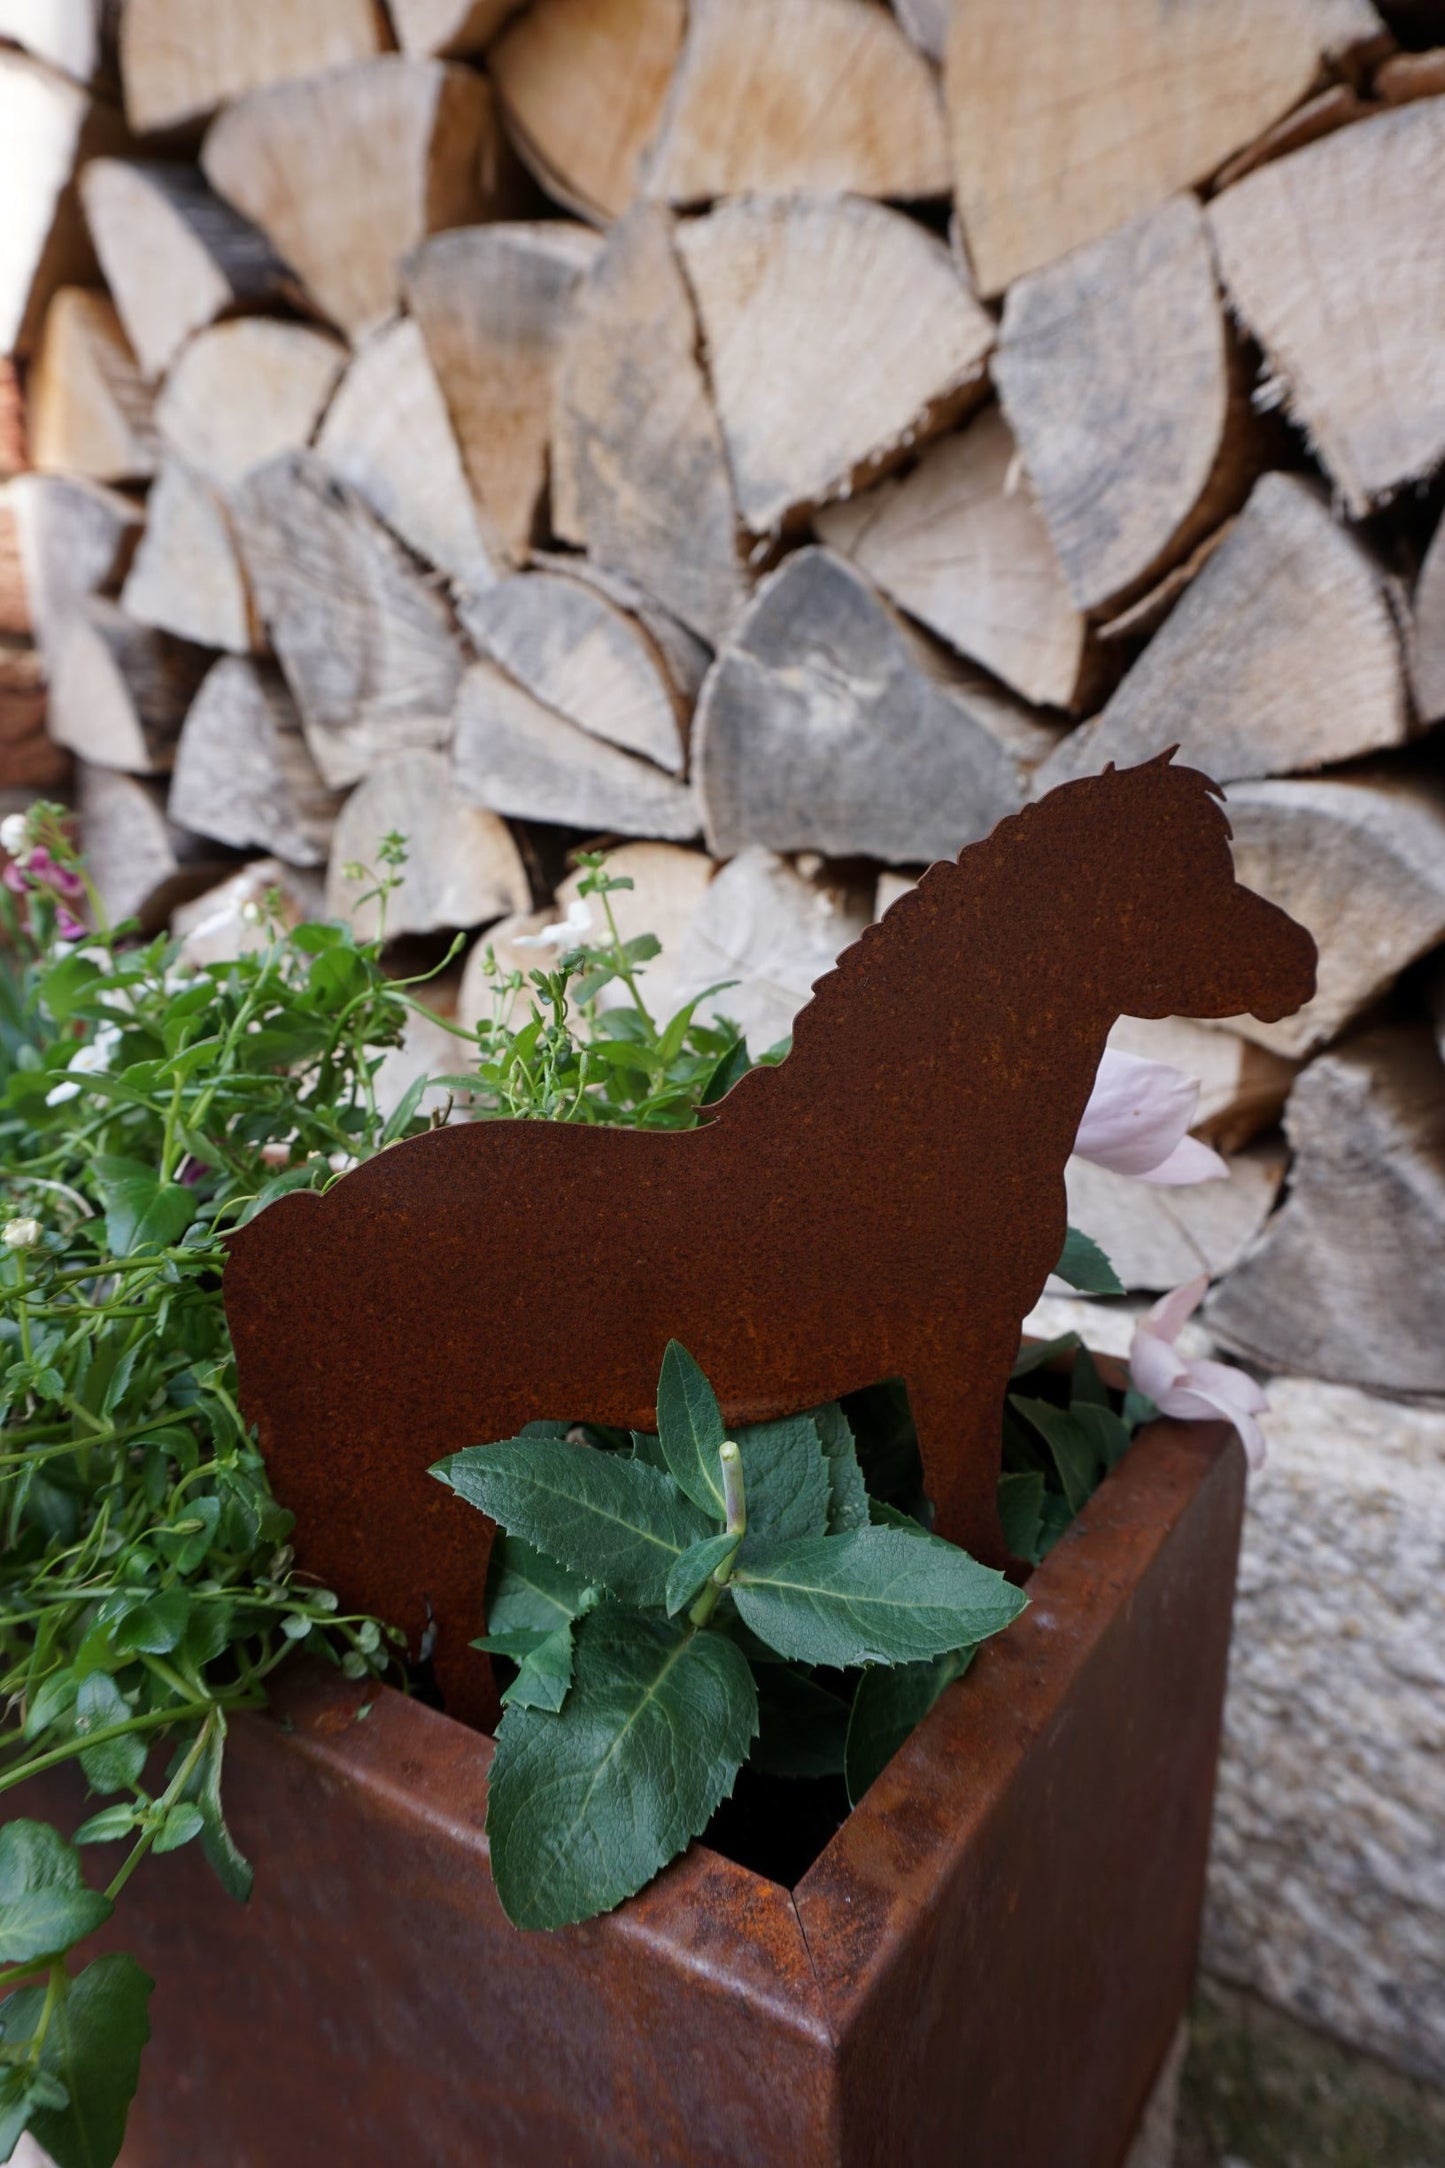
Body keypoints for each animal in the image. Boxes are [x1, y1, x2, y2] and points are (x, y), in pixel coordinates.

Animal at [223, 754, 1316, 1724]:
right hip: (421, 1489)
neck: (909, 1124)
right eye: (1177, 882)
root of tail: (290, 1227)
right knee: (440, 1628)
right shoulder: (960, 1351)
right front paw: (1004, 1588)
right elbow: (964, 1497)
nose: (1302, 964)